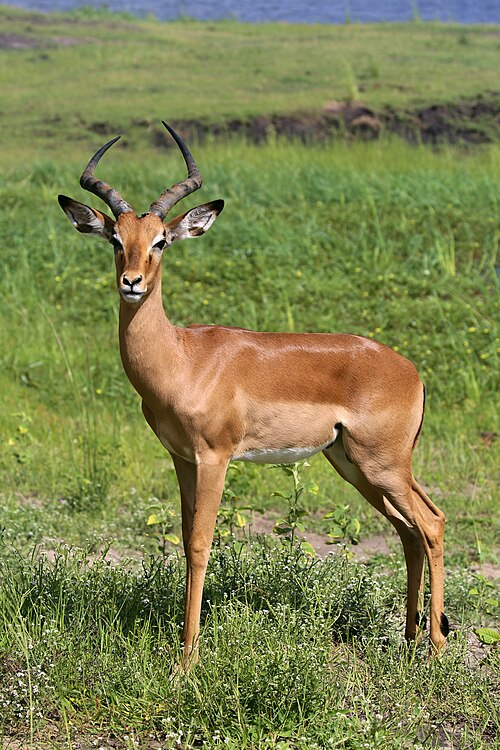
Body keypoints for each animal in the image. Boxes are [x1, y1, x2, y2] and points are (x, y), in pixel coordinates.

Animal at [58, 122, 448, 670]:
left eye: (161, 241)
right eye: (116, 238)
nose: (131, 282)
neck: (184, 359)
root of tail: (411, 372)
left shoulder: (215, 456)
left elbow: (201, 543)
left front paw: (187, 660)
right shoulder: (182, 458)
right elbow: (184, 538)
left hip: (383, 464)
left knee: (430, 524)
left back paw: (435, 646)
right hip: (355, 465)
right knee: (409, 531)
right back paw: (410, 640)